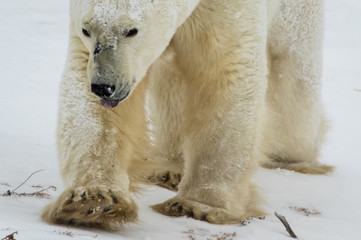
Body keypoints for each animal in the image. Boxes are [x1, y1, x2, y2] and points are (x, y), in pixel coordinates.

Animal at [40, 0, 330, 229]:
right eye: (87, 30)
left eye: (132, 30)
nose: (104, 86)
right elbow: (86, 94)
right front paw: (92, 201)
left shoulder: (227, 11)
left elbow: (224, 73)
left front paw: (198, 205)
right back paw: (171, 170)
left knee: (293, 73)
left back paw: (293, 159)